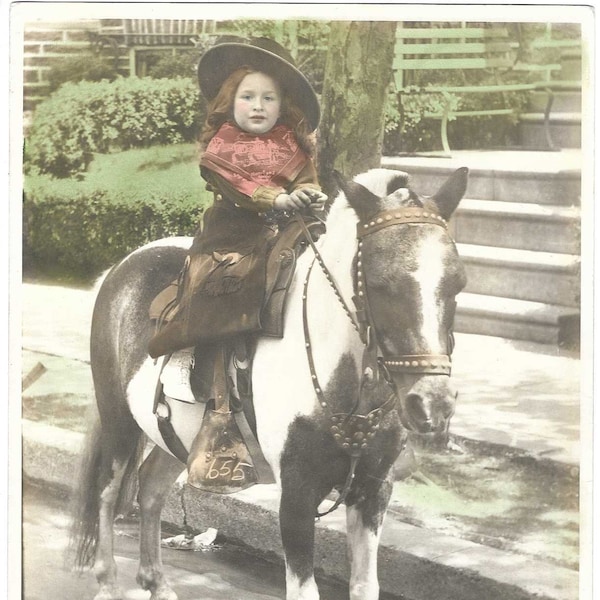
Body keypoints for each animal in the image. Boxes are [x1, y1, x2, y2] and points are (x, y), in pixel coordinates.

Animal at [71, 165, 468, 600]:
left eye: (458, 283)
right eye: (381, 283)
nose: (432, 403)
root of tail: (119, 268)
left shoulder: (373, 489)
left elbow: (365, 585)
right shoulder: (296, 495)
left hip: (176, 438)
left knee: (151, 487)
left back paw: (156, 581)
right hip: (118, 419)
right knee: (106, 490)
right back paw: (108, 582)